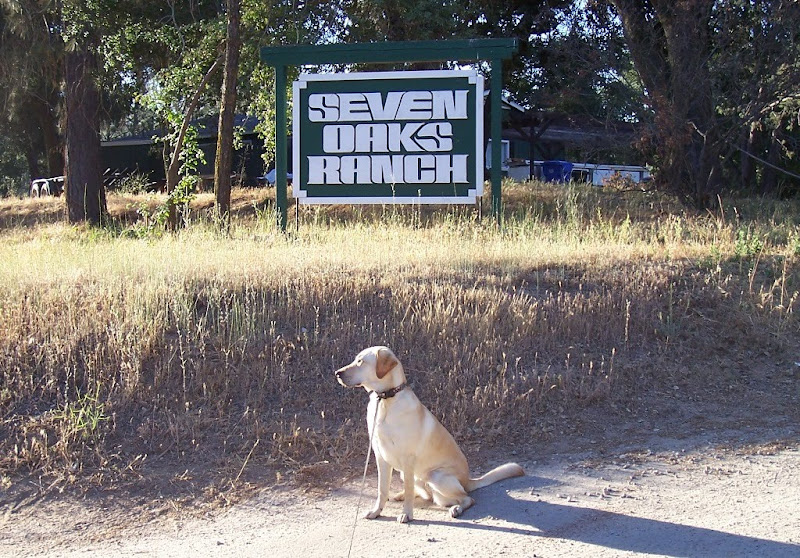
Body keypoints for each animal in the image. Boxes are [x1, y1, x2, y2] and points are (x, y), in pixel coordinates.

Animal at [336, 346, 524, 524]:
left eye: (360, 361)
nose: (337, 373)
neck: (386, 399)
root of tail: (468, 481)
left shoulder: (407, 458)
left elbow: (408, 491)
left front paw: (407, 514)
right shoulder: (380, 456)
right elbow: (382, 490)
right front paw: (376, 511)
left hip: (436, 476)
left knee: (467, 498)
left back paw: (456, 509)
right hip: (409, 474)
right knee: (423, 493)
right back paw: (400, 494)